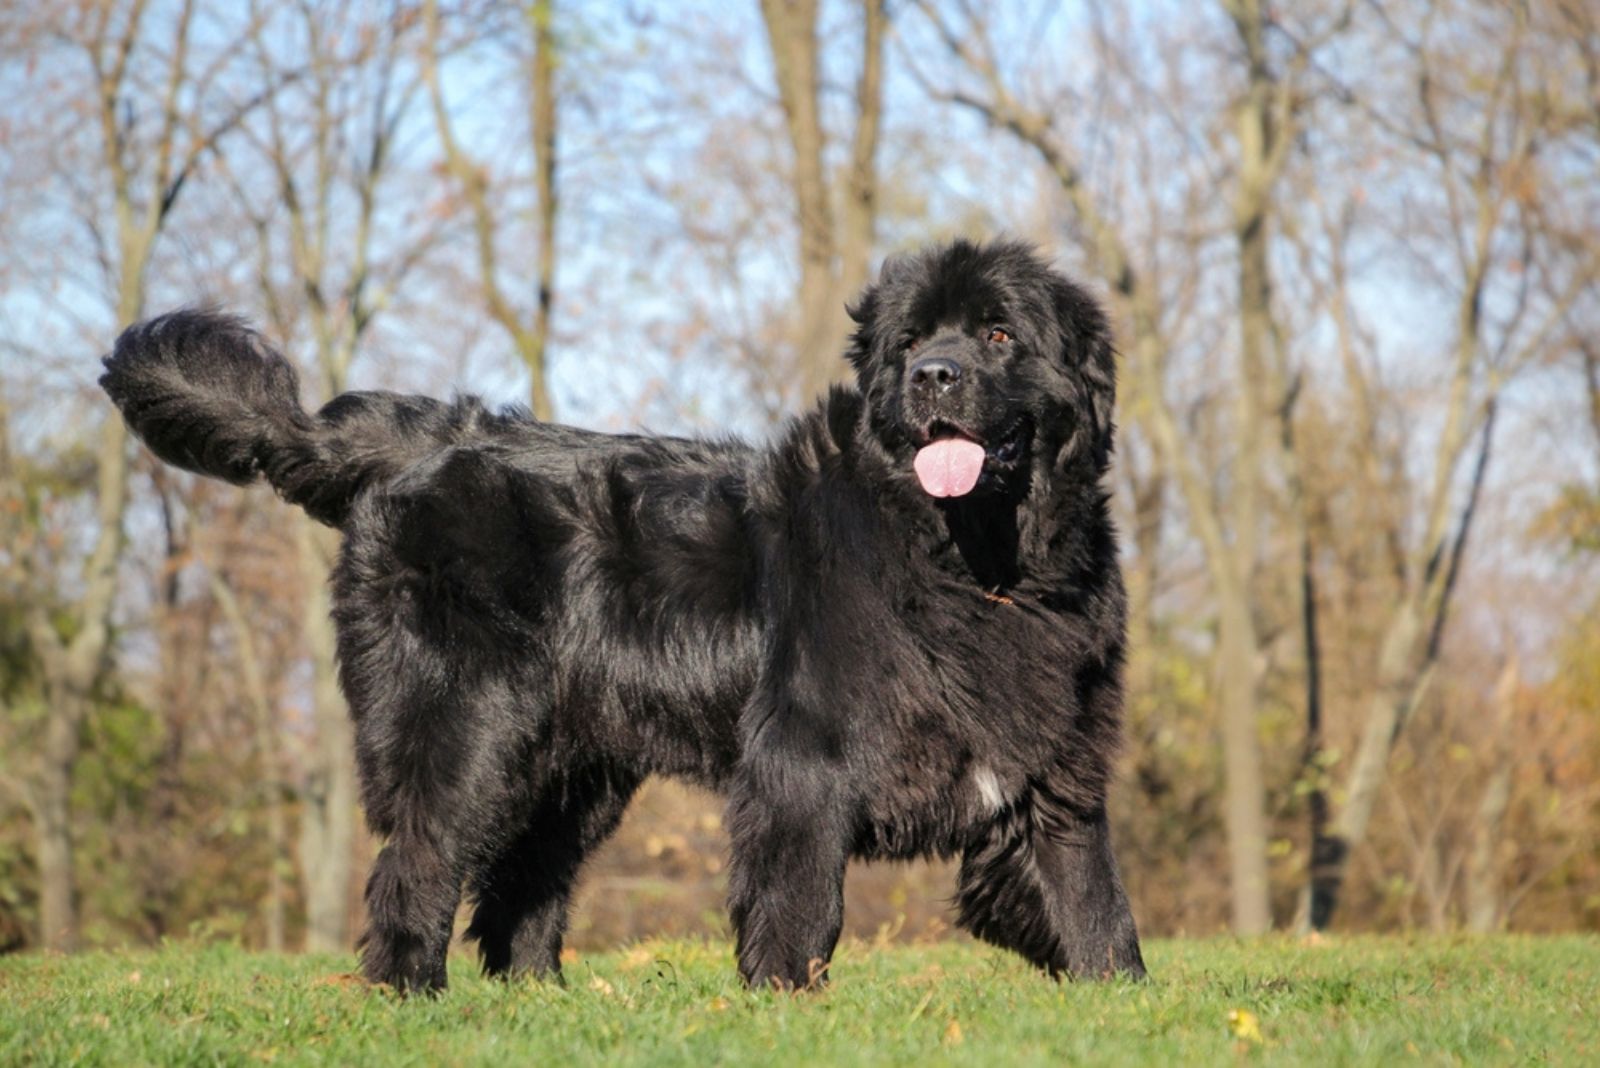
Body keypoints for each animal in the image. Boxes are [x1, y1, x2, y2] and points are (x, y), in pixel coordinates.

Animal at [100, 238, 1145, 991]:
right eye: (911, 343)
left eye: (1000, 336)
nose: (933, 375)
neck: (974, 563)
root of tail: (419, 441)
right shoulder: (803, 756)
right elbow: (800, 897)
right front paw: (786, 1004)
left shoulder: (1056, 757)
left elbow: (1092, 894)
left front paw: (1118, 997)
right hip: (468, 722)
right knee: (421, 858)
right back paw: (408, 996)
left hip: (574, 770)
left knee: (522, 889)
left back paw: (543, 1003)